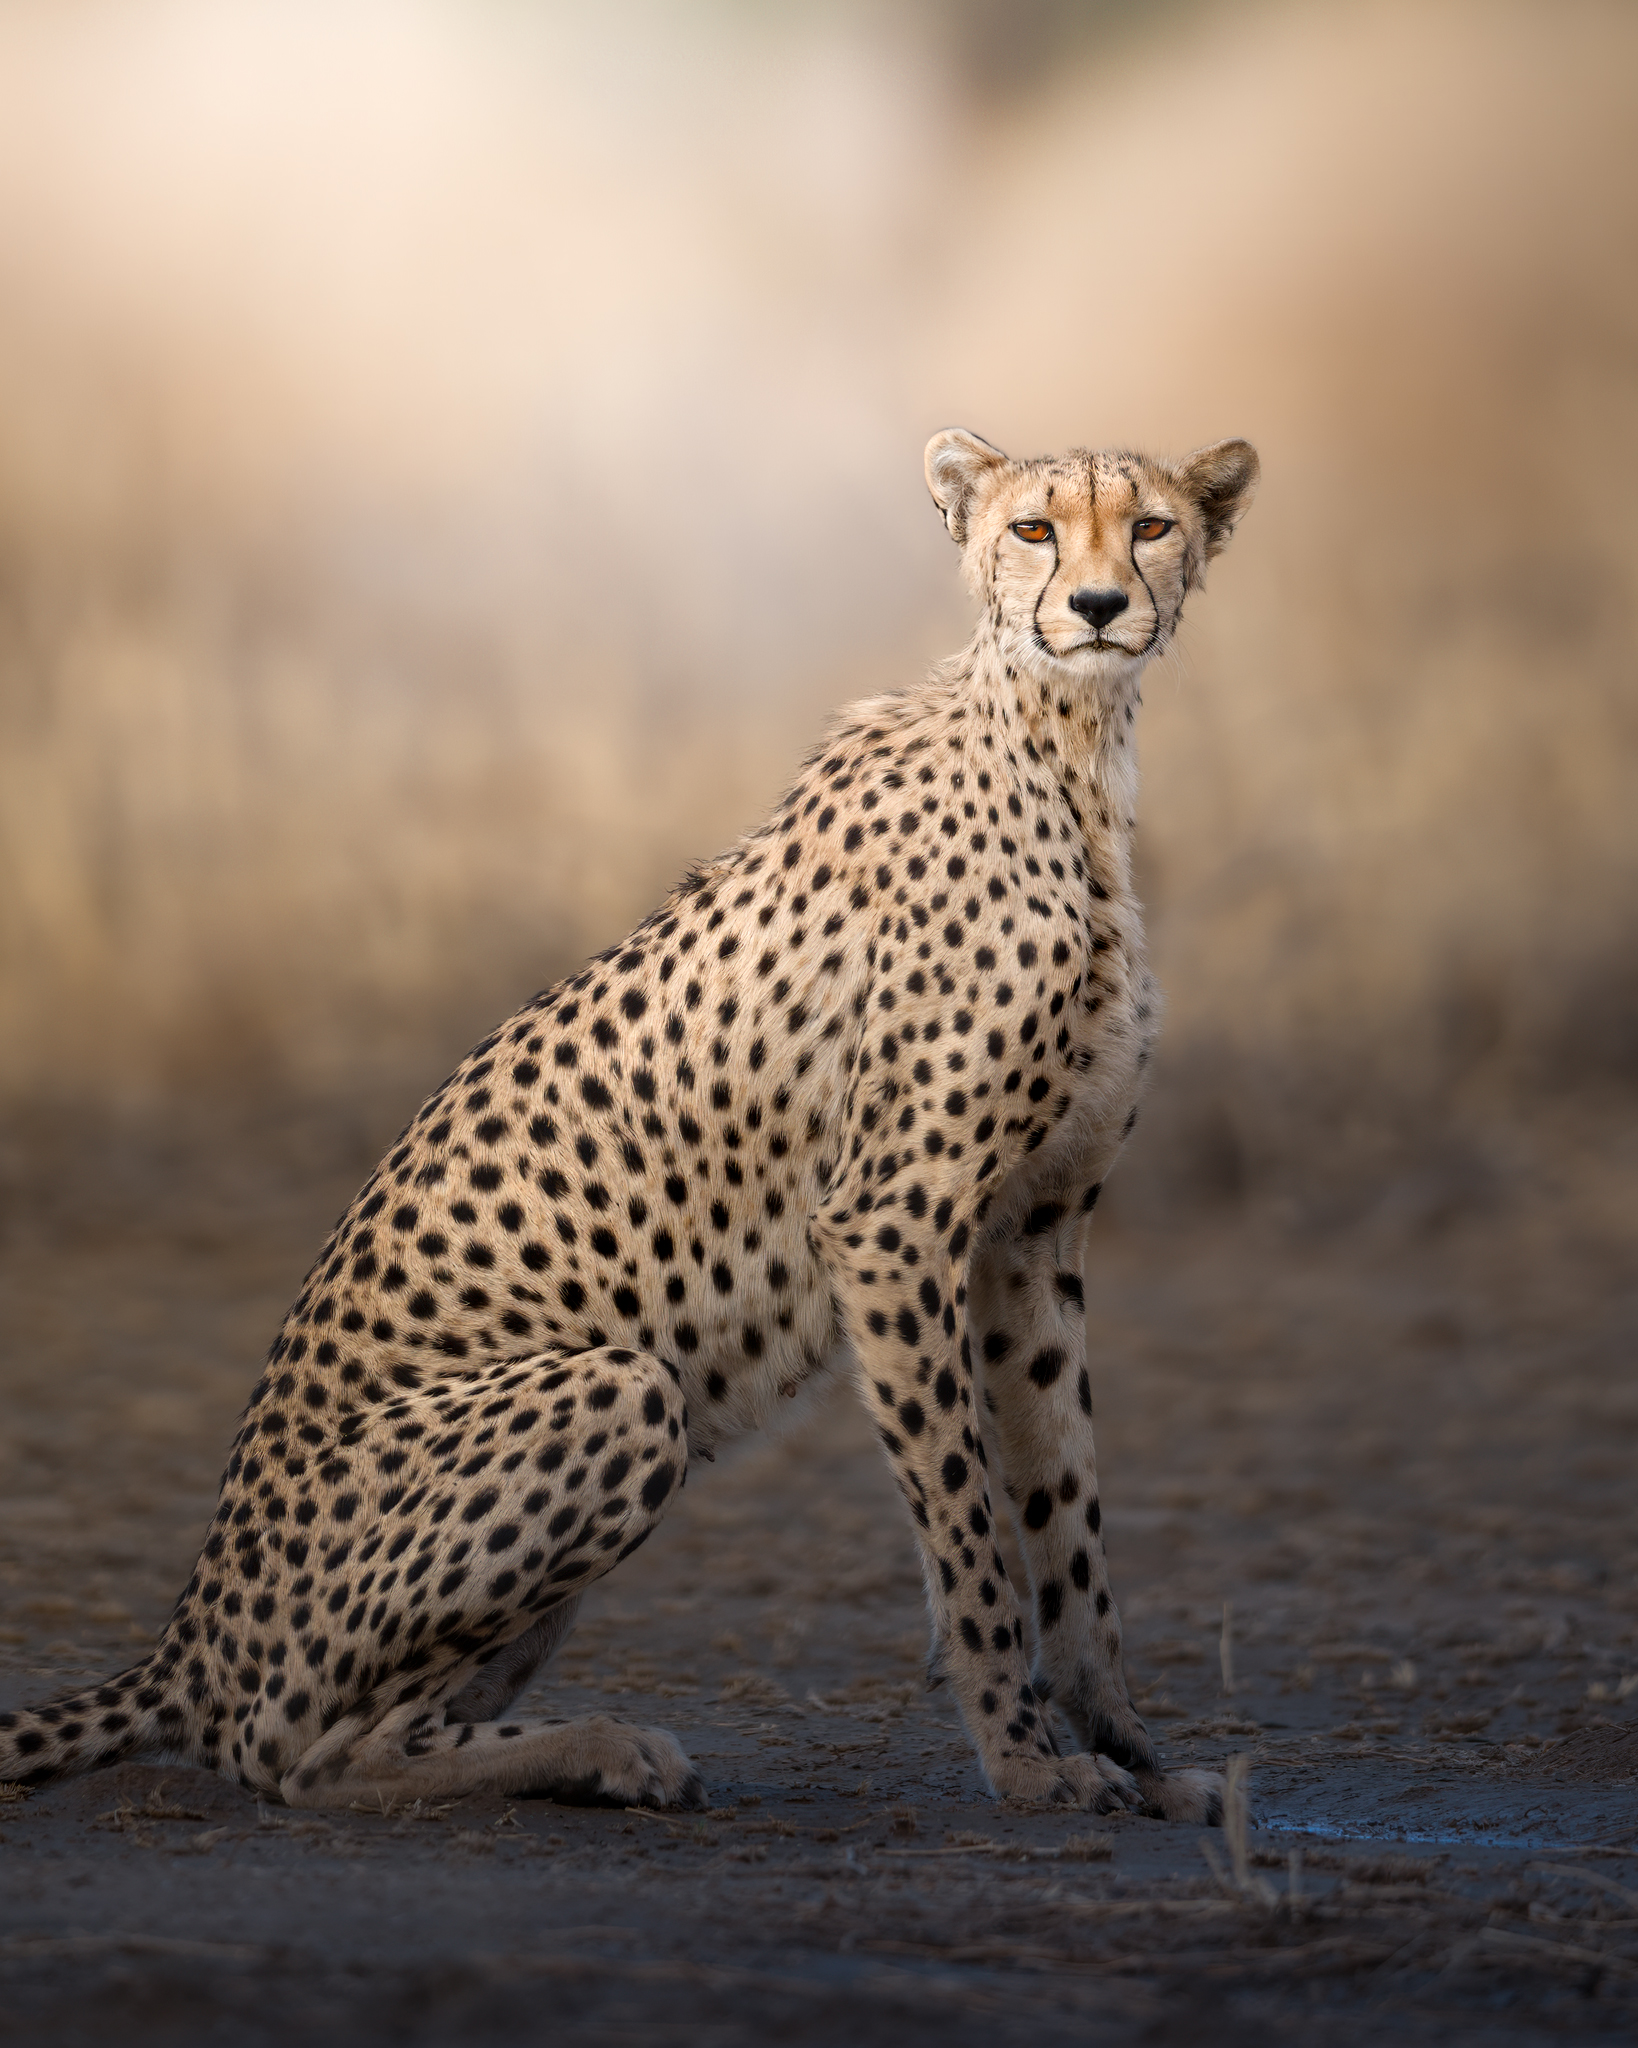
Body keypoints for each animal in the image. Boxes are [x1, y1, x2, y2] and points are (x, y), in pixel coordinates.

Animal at [1, 427, 1259, 1822]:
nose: (1095, 606)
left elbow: (1067, 1511)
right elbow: (972, 1526)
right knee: (293, 1751)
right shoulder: (893, 1222)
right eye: (1033, 530)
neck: (1070, 745)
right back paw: (606, 1745)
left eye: (1149, 527)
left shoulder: (1030, 1229)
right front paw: (1031, 1763)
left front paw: (1137, 1753)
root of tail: (189, 1633)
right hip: (618, 1391)